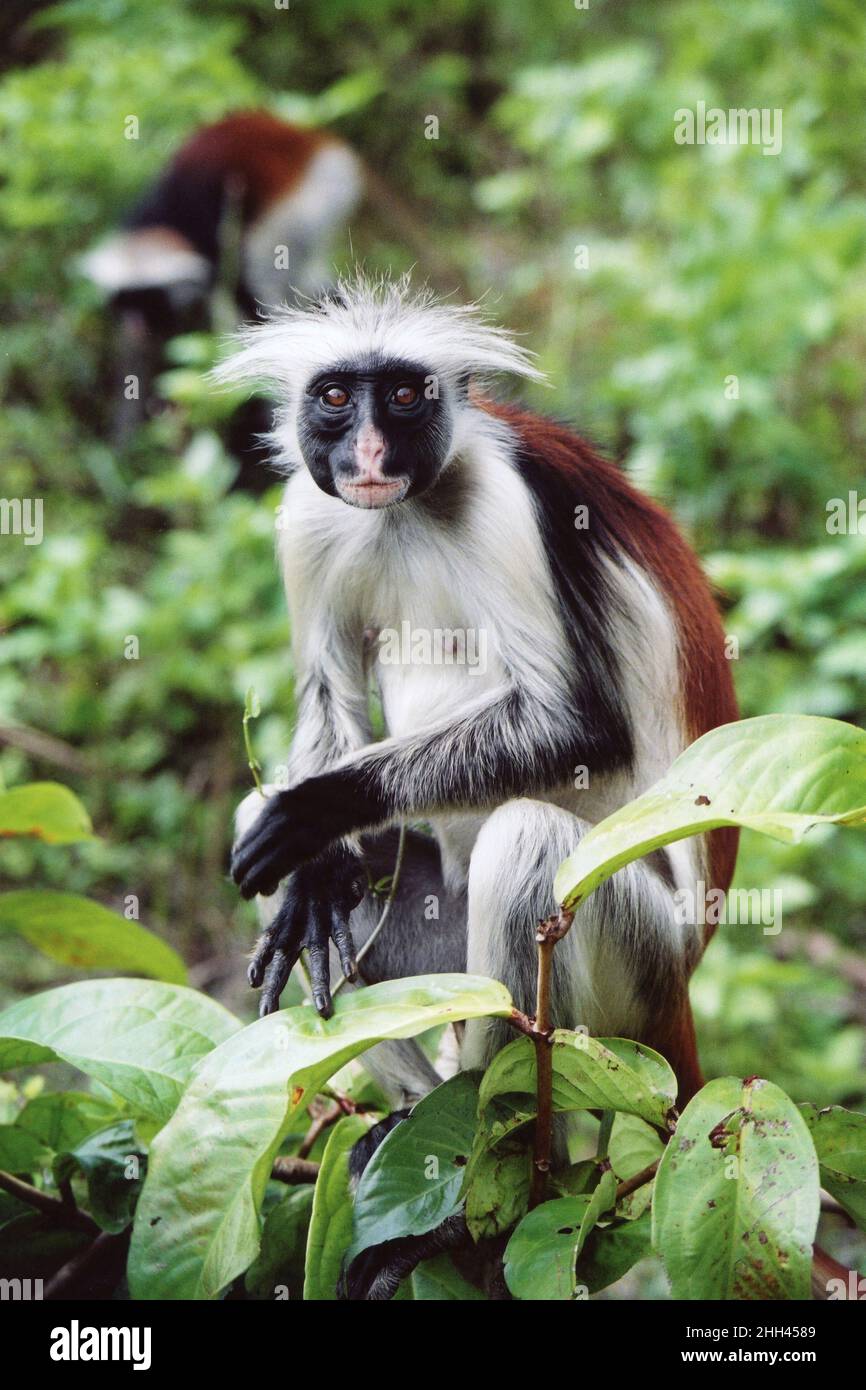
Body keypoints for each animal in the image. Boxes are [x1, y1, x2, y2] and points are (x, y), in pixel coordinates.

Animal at [223, 276, 739, 1295]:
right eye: (335, 398)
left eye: (404, 397)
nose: (369, 454)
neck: (405, 510)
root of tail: (685, 986)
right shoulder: (311, 515)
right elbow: (327, 699)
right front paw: (314, 873)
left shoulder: (506, 502)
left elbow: (578, 727)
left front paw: (321, 808)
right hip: (442, 943)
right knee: (267, 829)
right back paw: (409, 1131)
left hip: (642, 958)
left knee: (525, 839)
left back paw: (475, 1194)